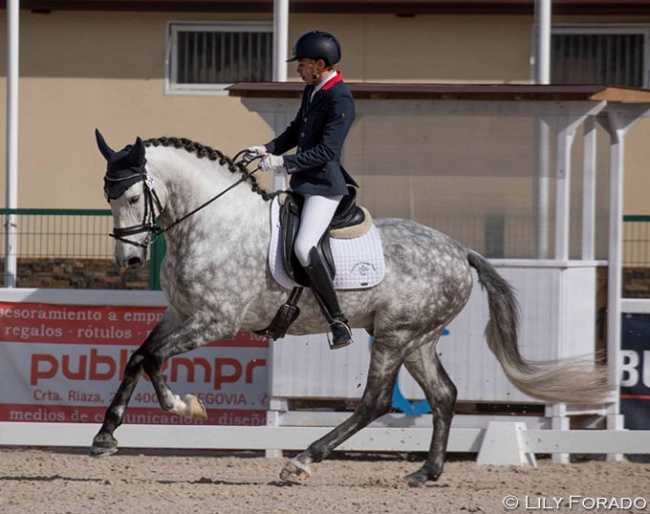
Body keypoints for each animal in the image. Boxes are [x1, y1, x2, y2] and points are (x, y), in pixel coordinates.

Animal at [88, 131, 612, 484]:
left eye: (132, 195)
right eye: (107, 196)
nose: (129, 260)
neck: (215, 222)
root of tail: (461, 251)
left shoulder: (215, 321)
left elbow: (154, 359)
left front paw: (183, 405)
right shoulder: (180, 315)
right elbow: (139, 356)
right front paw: (105, 435)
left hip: (394, 336)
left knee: (375, 401)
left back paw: (303, 461)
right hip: (417, 338)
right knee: (443, 395)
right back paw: (426, 472)